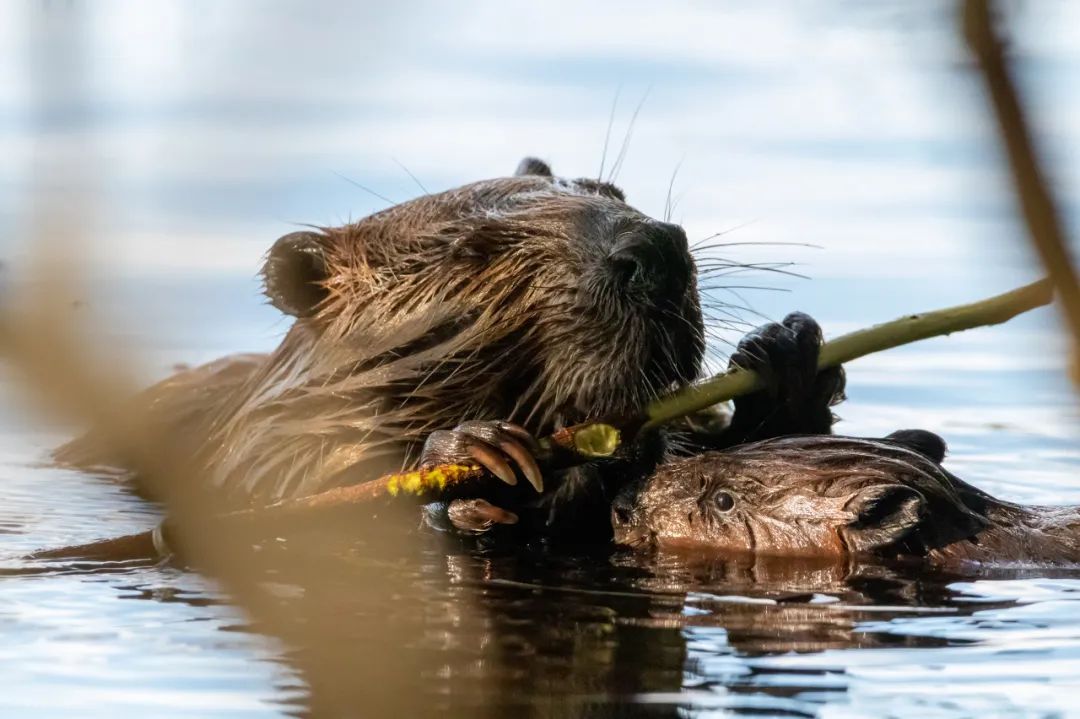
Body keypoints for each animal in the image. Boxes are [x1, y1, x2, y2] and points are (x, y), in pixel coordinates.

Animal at [56, 156, 842, 537]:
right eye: (475, 249)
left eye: (612, 188)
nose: (654, 248)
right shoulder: (244, 456)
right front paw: (479, 456)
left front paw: (783, 357)